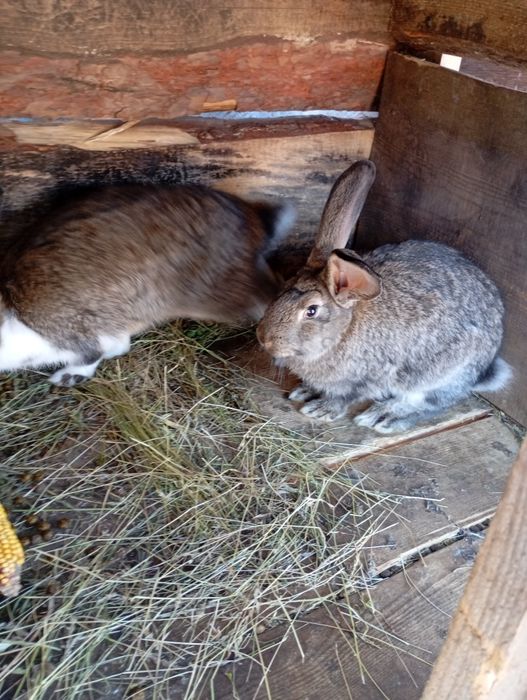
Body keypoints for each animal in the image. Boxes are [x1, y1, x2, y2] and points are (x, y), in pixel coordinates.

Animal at [257, 159, 511, 434]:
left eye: (311, 310)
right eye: (284, 287)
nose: (263, 338)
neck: (343, 331)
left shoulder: (369, 378)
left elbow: (346, 397)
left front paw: (322, 409)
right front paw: (305, 391)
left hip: (438, 377)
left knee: (429, 405)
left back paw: (383, 417)